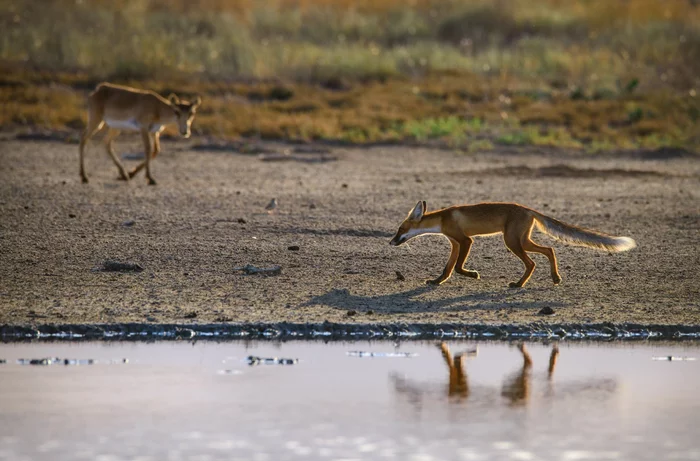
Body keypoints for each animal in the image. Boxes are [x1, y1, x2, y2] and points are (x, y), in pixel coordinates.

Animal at [392, 201, 636, 288]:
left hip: (511, 242)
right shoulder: (455, 243)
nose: (391, 241)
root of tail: (529, 209)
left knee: (533, 262)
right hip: (522, 240)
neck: (443, 219)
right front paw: (436, 281)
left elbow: (459, 268)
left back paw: (519, 284)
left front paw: (473, 274)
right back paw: (555, 277)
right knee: (549, 249)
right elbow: (448, 268)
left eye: (400, 229)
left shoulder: (465, 240)